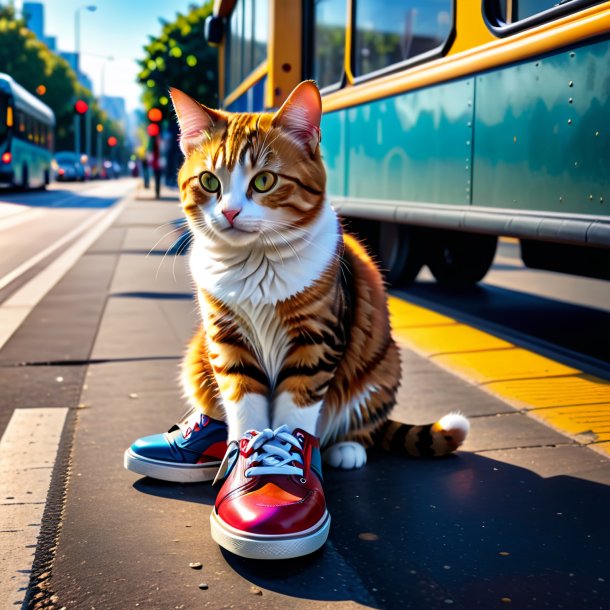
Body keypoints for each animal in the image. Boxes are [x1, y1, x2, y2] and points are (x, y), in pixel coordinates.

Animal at [169, 81, 468, 470]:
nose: (230, 212)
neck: (255, 265)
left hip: (382, 365)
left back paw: (347, 447)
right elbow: (245, 404)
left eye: (263, 181)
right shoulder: (228, 339)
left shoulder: (315, 341)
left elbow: (293, 411)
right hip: (197, 354)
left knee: (363, 421)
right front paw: (245, 458)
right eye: (208, 181)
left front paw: (282, 460)